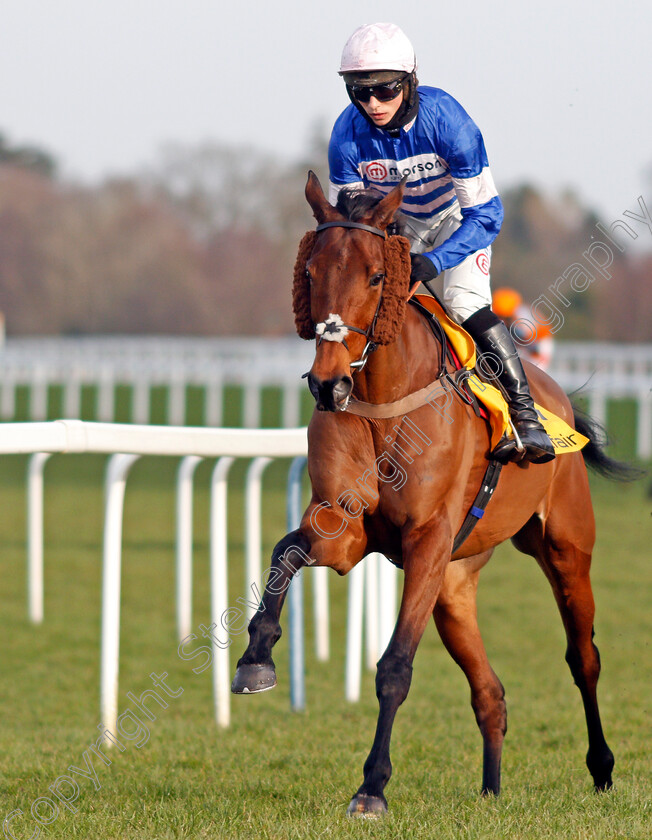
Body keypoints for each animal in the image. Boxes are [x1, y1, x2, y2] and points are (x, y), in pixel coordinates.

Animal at [229, 172, 620, 812]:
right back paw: (490, 790)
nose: (328, 384)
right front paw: (256, 657)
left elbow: (394, 667)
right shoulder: (345, 529)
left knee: (583, 657)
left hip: (564, 548)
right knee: (490, 691)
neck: (383, 399)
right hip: (454, 588)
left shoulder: (428, 539)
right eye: (310, 270)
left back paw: (603, 767)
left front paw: (372, 787)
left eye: (376, 275)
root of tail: (556, 395)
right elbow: (285, 551)